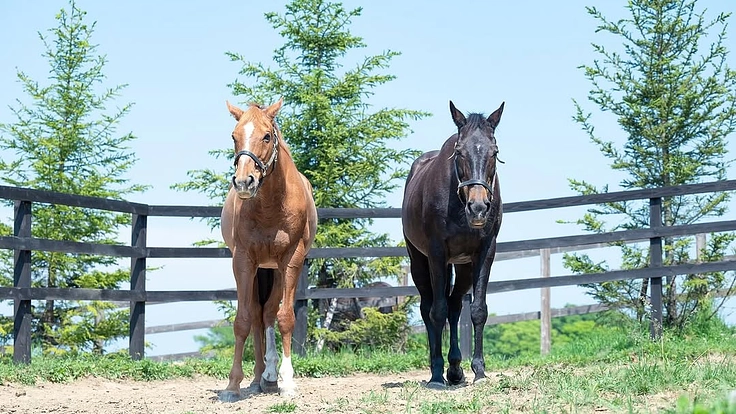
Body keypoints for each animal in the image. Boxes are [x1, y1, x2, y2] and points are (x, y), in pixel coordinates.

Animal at [219, 98, 317, 400]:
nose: (244, 181)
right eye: (233, 136)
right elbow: (243, 320)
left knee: (269, 312)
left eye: (266, 136)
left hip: (274, 270)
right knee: (258, 315)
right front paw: (233, 384)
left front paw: (288, 381)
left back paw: (272, 376)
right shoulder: (243, 261)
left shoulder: (291, 260)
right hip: (260, 269)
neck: (271, 206)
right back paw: (259, 377)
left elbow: (284, 318)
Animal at [401, 100, 504, 389]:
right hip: (420, 262)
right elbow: (437, 311)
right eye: (459, 152)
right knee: (429, 307)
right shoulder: (436, 253)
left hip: (462, 265)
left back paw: (456, 368)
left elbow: (478, 310)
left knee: (455, 306)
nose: (479, 208)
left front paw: (479, 371)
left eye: (494, 152)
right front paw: (437, 375)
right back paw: (438, 369)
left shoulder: (485, 252)